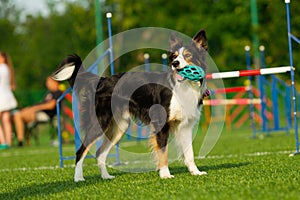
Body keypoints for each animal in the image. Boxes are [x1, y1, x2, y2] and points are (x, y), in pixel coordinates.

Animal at [51, 29, 210, 181]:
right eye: (174, 56)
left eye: (188, 55)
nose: (175, 63)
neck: (184, 86)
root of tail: (101, 80)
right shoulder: (160, 123)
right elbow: (163, 152)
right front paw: (165, 174)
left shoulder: (185, 126)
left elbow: (190, 154)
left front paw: (196, 172)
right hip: (100, 123)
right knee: (81, 151)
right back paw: (78, 178)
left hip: (119, 126)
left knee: (99, 153)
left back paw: (106, 176)